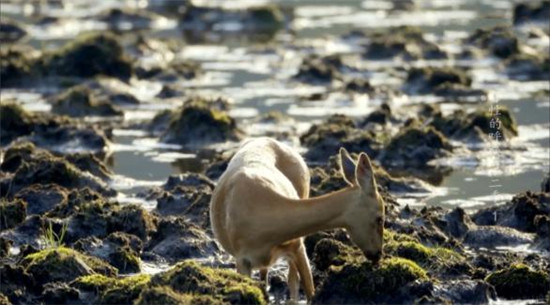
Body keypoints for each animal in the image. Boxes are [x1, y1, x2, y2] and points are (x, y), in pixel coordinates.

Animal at [211, 137, 388, 300]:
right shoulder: (242, 260)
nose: (377, 254)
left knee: (290, 281)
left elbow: (308, 291)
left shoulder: (297, 246)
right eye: (380, 218)